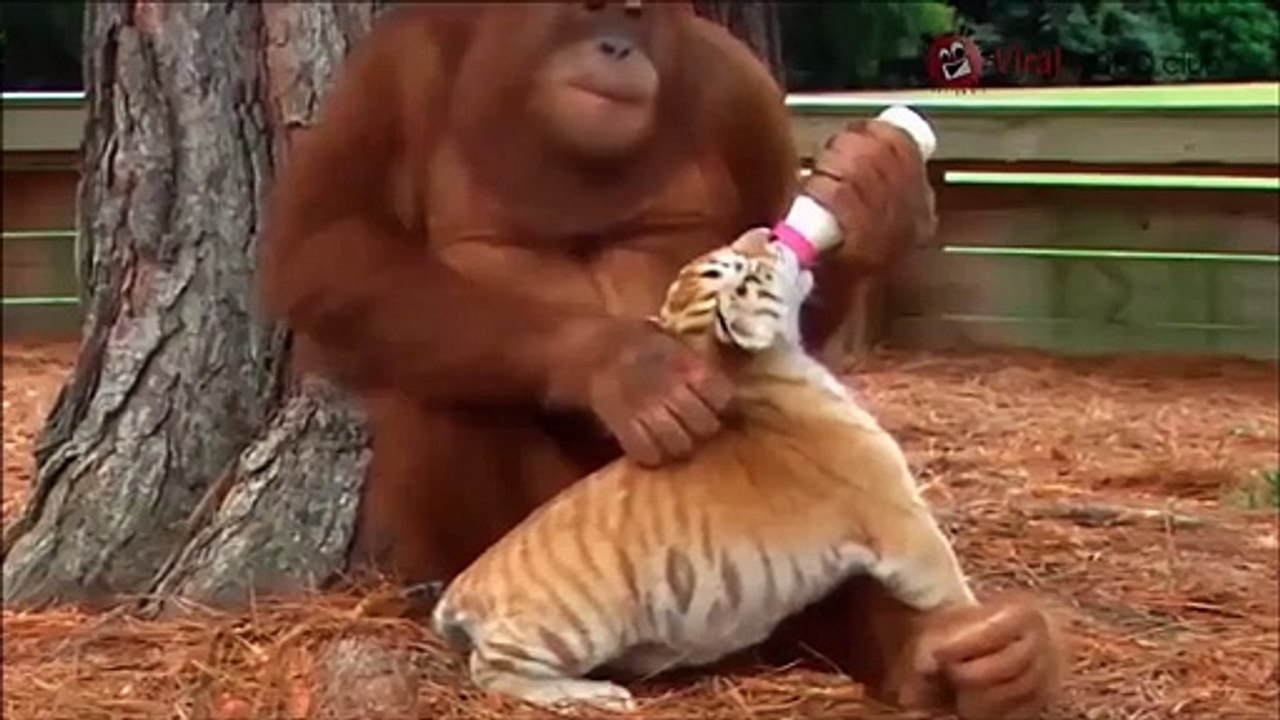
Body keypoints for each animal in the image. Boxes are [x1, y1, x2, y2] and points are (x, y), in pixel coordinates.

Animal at [430, 227, 977, 713]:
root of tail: (463, 587)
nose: (768, 232)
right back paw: (596, 695)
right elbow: (952, 587)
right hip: (564, 629)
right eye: (739, 268)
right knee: (493, 671)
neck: (759, 372)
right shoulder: (902, 525)